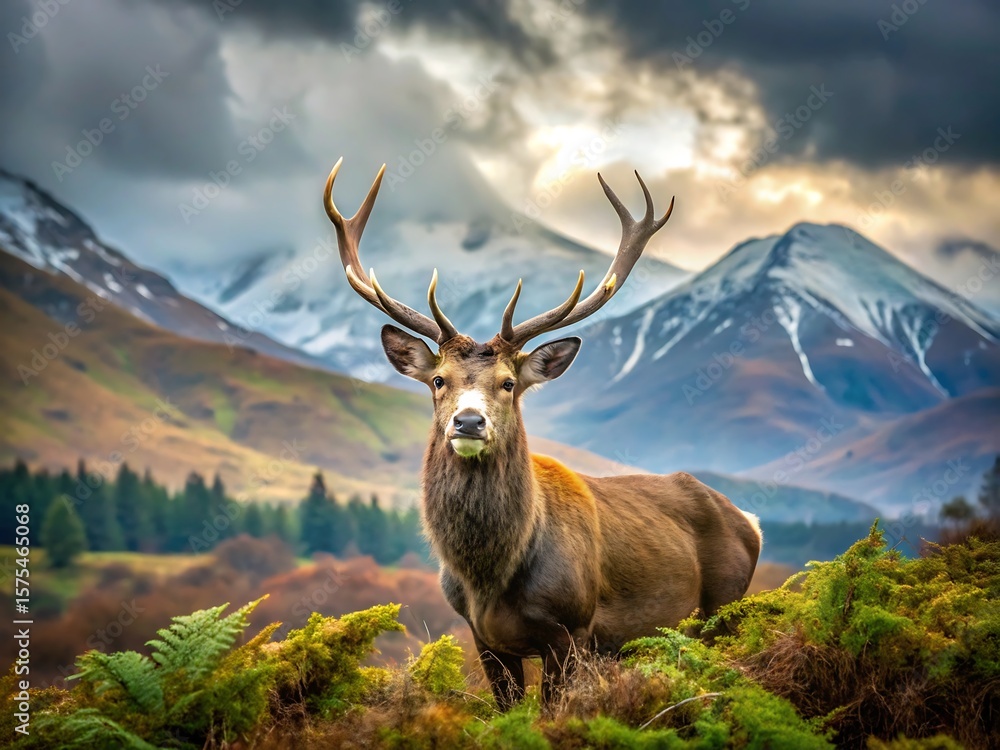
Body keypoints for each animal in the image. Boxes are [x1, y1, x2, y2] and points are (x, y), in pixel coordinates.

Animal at [322, 157, 762, 709]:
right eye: (439, 380)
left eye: (508, 382)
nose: (469, 422)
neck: (490, 579)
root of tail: (750, 522)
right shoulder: (485, 638)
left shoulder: (573, 629)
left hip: (723, 608)